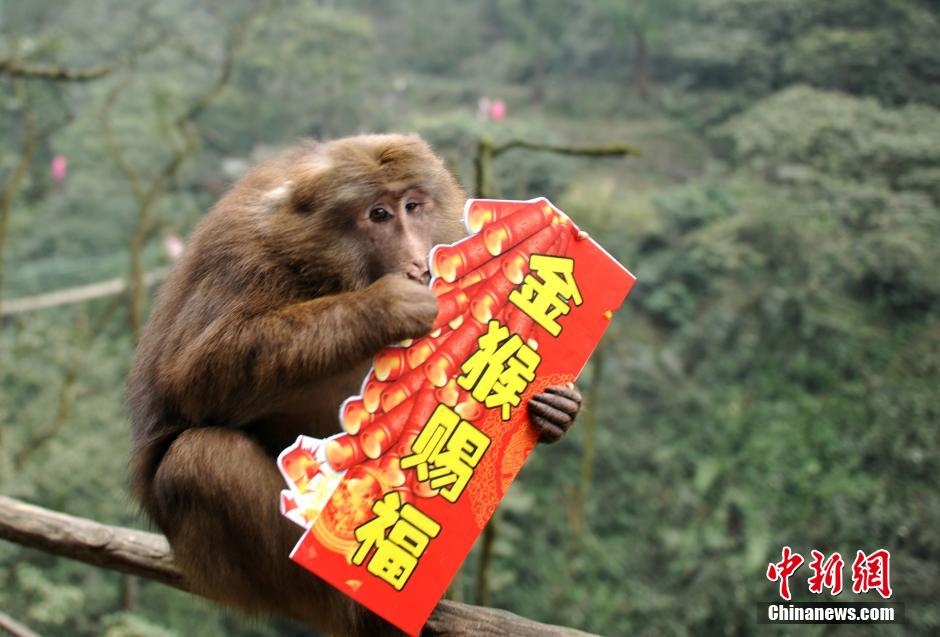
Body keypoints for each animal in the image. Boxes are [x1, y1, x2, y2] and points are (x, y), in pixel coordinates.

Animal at [128, 134, 583, 636]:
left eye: (412, 206)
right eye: (378, 214)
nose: (416, 261)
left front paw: (557, 407)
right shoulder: (244, 258)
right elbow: (191, 376)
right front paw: (387, 305)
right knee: (201, 459)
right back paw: (357, 600)